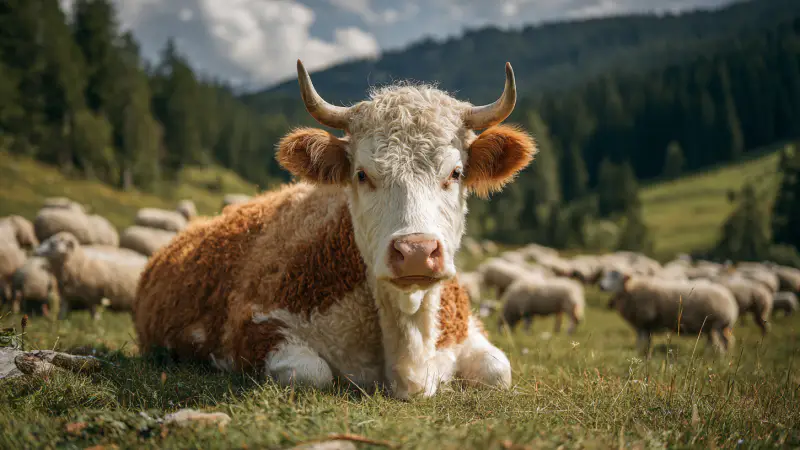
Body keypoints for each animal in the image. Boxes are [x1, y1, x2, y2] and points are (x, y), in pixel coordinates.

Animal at [133, 60, 537, 399]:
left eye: (455, 173)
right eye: (361, 174)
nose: (416, 252)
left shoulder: (466, 327)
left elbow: (498, 369)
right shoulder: (256, 324)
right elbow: (311, 373)